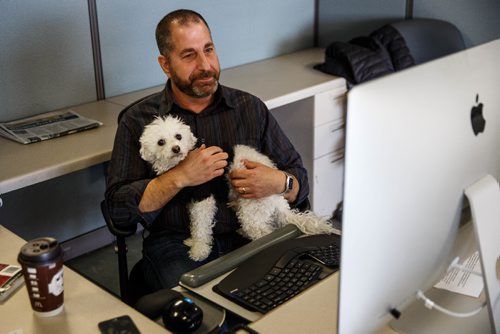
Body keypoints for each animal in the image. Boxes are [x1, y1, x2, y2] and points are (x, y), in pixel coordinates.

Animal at [140, 115, 336, 260]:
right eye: (160, 142)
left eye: (178, 137)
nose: (176, 148)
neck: (180, 163)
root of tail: (279, 202)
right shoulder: (192, 200)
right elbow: (194, 225)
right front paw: (192, 241)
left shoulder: (203, 198)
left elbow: (201, 226)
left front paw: (199, 250)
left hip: (252, 210)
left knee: (265, 232)